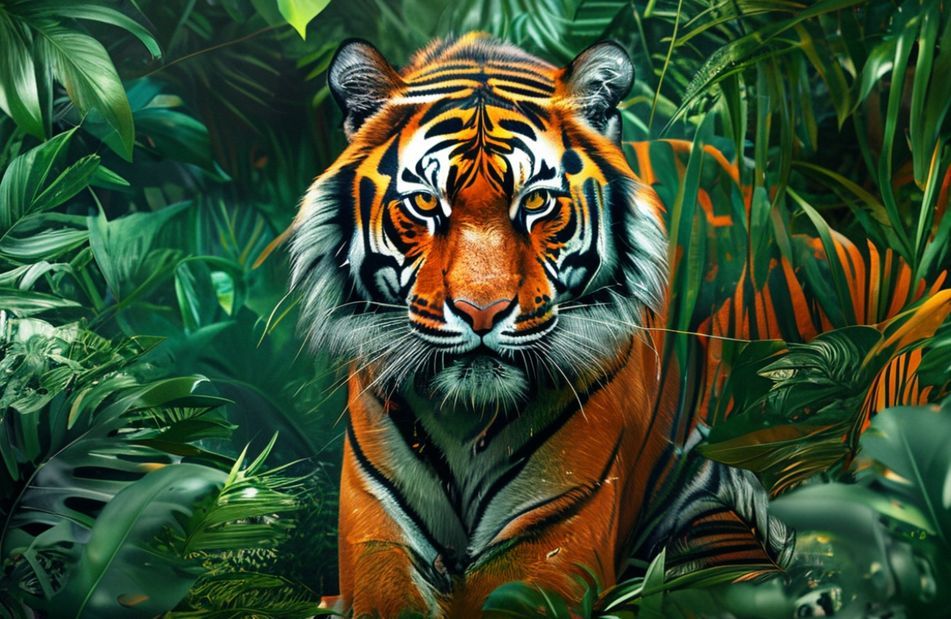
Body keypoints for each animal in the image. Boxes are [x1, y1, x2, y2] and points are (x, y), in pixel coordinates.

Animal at [290, 33, 792, 617]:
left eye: (535, 201)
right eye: (425, 203)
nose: (481, 311)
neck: (465, 423)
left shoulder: (556, 528)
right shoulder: (378, 527)